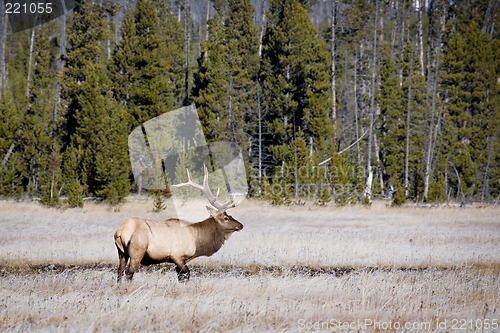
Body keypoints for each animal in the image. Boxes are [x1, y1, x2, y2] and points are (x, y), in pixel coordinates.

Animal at [115, 166, 244, 280]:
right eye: (226, 218)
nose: (241, 225)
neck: (198, 241)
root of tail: (120, 231)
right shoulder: (177, 256)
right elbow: (186, 275)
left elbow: (180, 277)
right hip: (136, 252)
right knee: (129, 273)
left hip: (122, 253)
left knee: (119, 272)